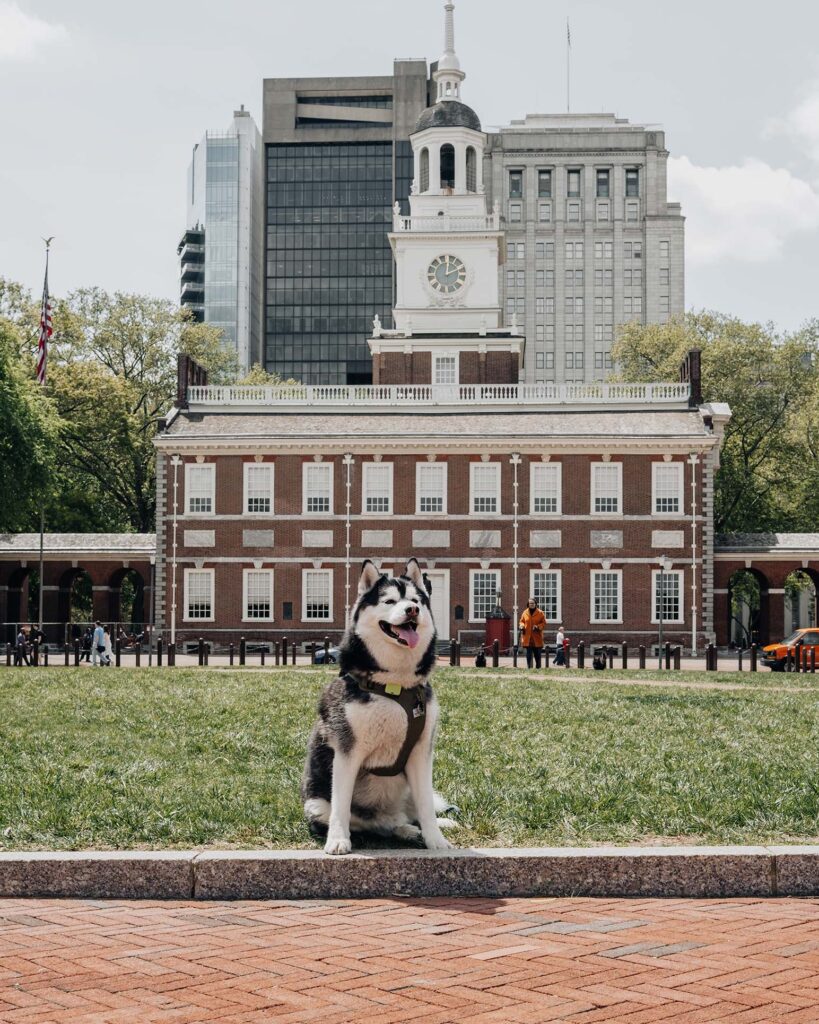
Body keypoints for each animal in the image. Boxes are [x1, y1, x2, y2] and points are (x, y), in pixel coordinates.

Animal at [300, 561, 454, 856]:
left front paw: (436, 839)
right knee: (363, 822)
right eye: (389, 601)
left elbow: (426, 806)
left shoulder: (421, 752)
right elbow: (341, 805)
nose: (412, 610)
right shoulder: (347, 752)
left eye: (416, 601)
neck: (395, 684)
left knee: (408, 815)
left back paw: (416, 828)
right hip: (315, 804)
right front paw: (338, 839)